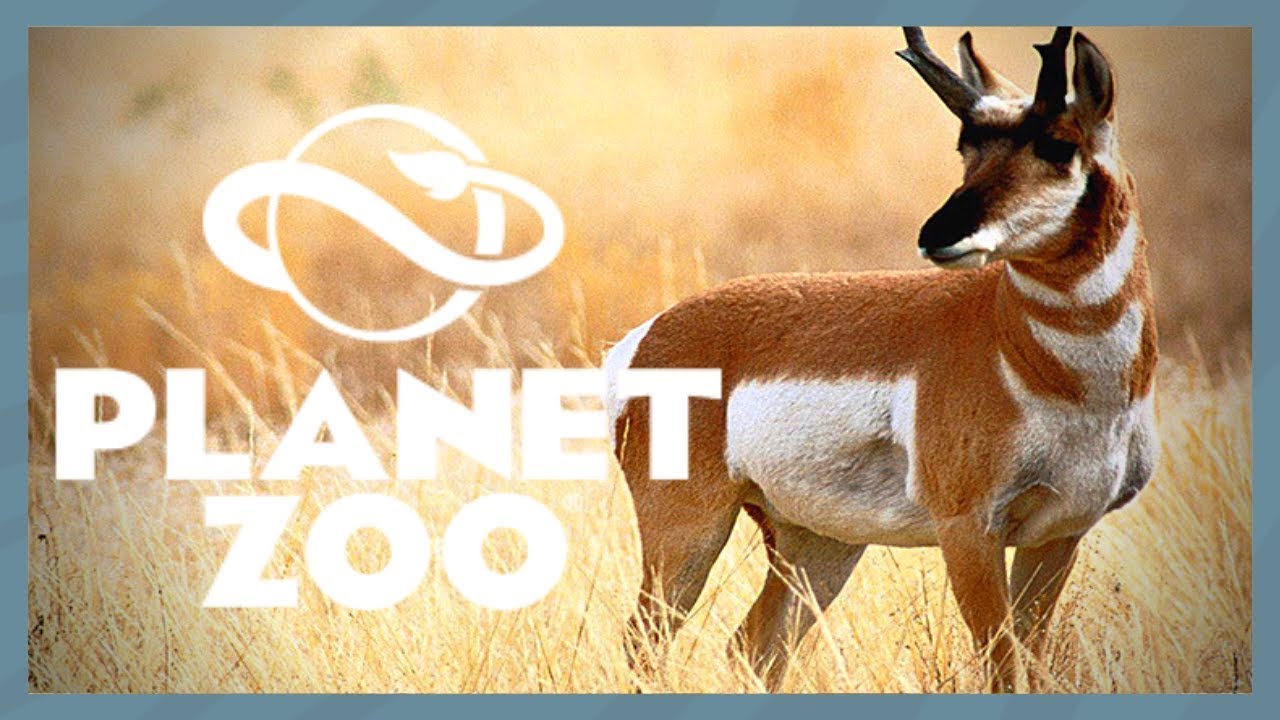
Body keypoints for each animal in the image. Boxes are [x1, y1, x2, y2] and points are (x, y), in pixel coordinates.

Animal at [604, 26, 1157, 692]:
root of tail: (650, 334)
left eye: (1058, 144)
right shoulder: (969, 531)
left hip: (817, 542)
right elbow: (1001, 664)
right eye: (967, 146)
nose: (938, 233)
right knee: (646, 642)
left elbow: (1030, 661)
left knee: (754, 644)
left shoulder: (1059, 533)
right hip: (690, 529)